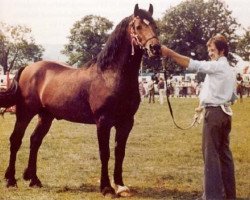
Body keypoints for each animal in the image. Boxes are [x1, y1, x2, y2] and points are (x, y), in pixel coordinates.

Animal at [0, 3, 160, 198]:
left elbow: (119, 152)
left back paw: (34, 180)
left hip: (46, 117)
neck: (110, 76)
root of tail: (28, 68)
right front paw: (106, 188)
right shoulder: (103, 122)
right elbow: (105, 153)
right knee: (16, 140)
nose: (155, 48)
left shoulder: (126, 122)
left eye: (155, 25)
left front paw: (121, 186)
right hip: (24, 113)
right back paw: (11, 180)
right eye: (138, 26)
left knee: (35, 140)